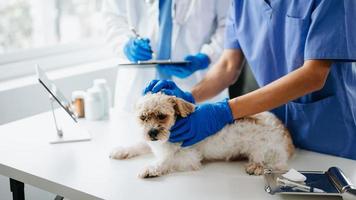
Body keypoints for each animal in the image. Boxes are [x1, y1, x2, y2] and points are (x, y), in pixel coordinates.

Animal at [110, 92, 294, 178]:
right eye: (143, 118)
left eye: (162, 116)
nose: (152, 132)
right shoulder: (153, 143)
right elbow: (139, 144)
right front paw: (121, 150)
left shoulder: (188, 158)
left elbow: (165, 161)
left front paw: (150, 168)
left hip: (264, 150)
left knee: (276, 165)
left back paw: (256, 166)